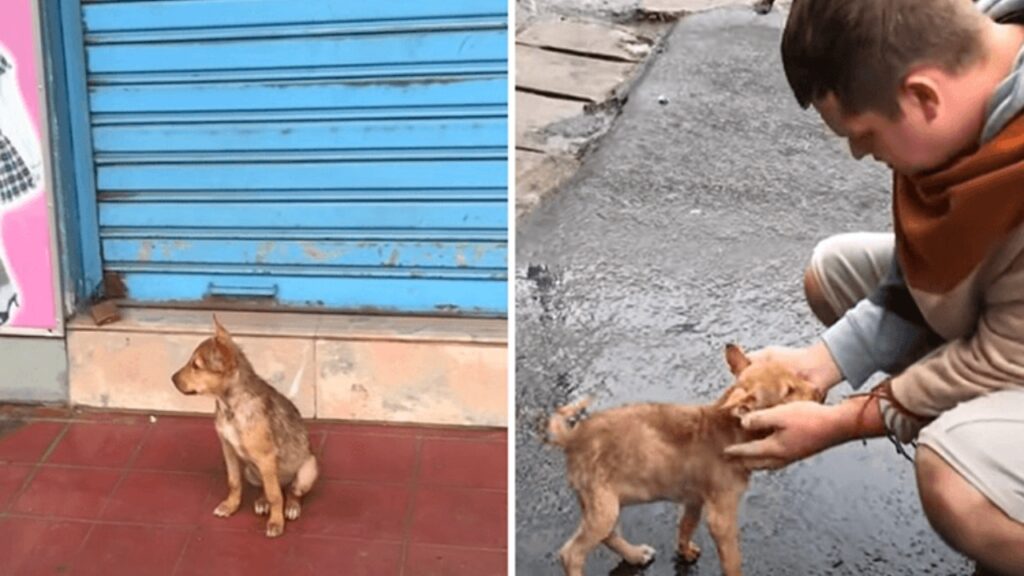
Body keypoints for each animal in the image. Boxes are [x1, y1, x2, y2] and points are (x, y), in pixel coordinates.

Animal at [172, 315, 317, 537]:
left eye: (196, 366)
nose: (171, 379)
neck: (230, 406)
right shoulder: (228, 448)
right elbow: (234, 482)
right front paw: (230, 506)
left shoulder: (266, 458)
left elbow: (276, 496)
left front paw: (276, 522)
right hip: (252, 472)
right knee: (267, 487)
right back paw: (262, 501)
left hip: (307, 470)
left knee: (290, 491)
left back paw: (291, 506)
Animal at [548, 342, 819, 569]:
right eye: (788, 391)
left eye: (797, 376)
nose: (818, 391)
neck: (729, 428)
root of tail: (572, 437)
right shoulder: (721, 517)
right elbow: (732, 560)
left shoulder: (693, 501)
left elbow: (686, 527)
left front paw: (684, 551)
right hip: (603, 506)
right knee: (572, 553)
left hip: (605, 503)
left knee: (608, 536)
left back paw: (634, 555)